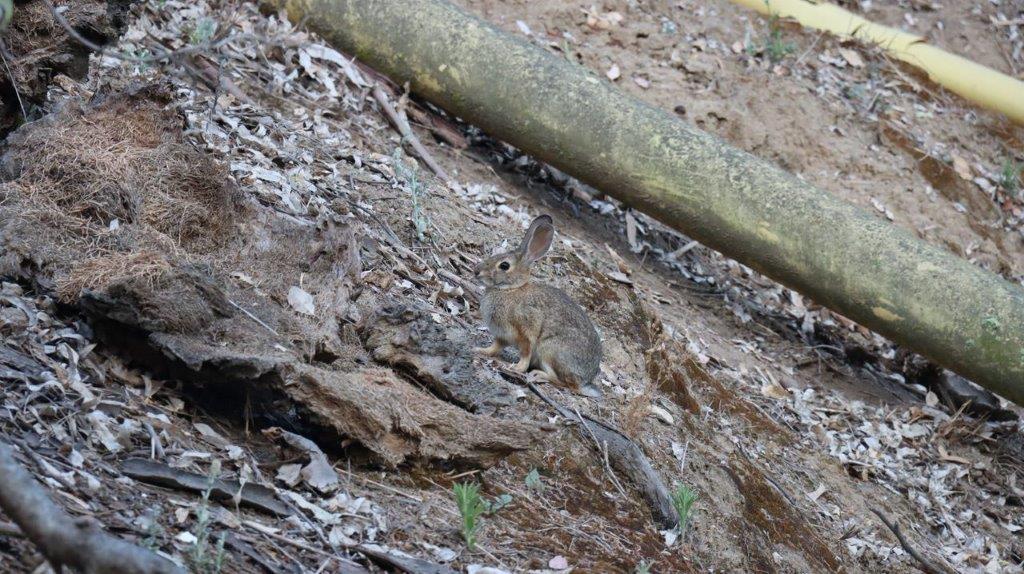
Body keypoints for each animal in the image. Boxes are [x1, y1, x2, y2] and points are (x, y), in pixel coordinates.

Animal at [475, 212, 602, 396]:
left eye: (504, 265)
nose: (476, 271)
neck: (510, 290)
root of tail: (586, 381)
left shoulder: (527, 329)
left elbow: (526, 352)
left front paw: (517, 368)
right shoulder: (501, 335)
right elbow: (495, 347)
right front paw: (480, 350)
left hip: (550, 350)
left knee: (568, 384)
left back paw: (539, 375)